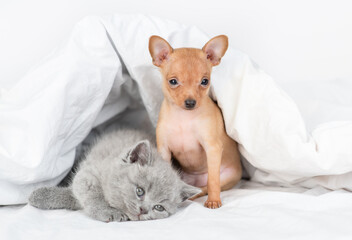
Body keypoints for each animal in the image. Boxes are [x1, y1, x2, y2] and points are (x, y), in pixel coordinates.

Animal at [148, 34, 242, 208]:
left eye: (205, 81)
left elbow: (213, 181)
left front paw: (213, 200)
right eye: (173, 82)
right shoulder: (164, 150)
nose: (190, 102)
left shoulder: (212, 148)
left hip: (228, 176)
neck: (183, 118)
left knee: (205, 187)